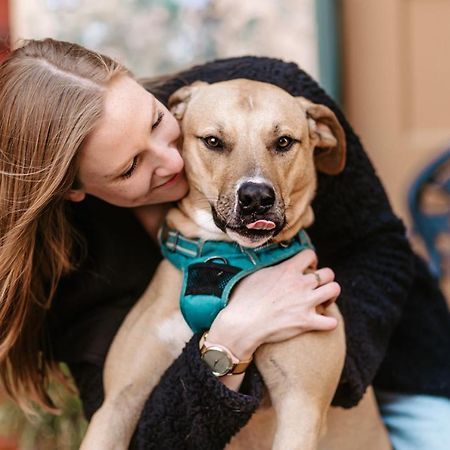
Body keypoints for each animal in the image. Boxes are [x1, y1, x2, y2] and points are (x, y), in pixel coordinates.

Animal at [79, 79, 388, 448]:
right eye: (213, 141)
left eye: (284, 142)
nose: (256, 197)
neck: (225, 259)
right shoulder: (117, 404)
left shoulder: (302, 407)